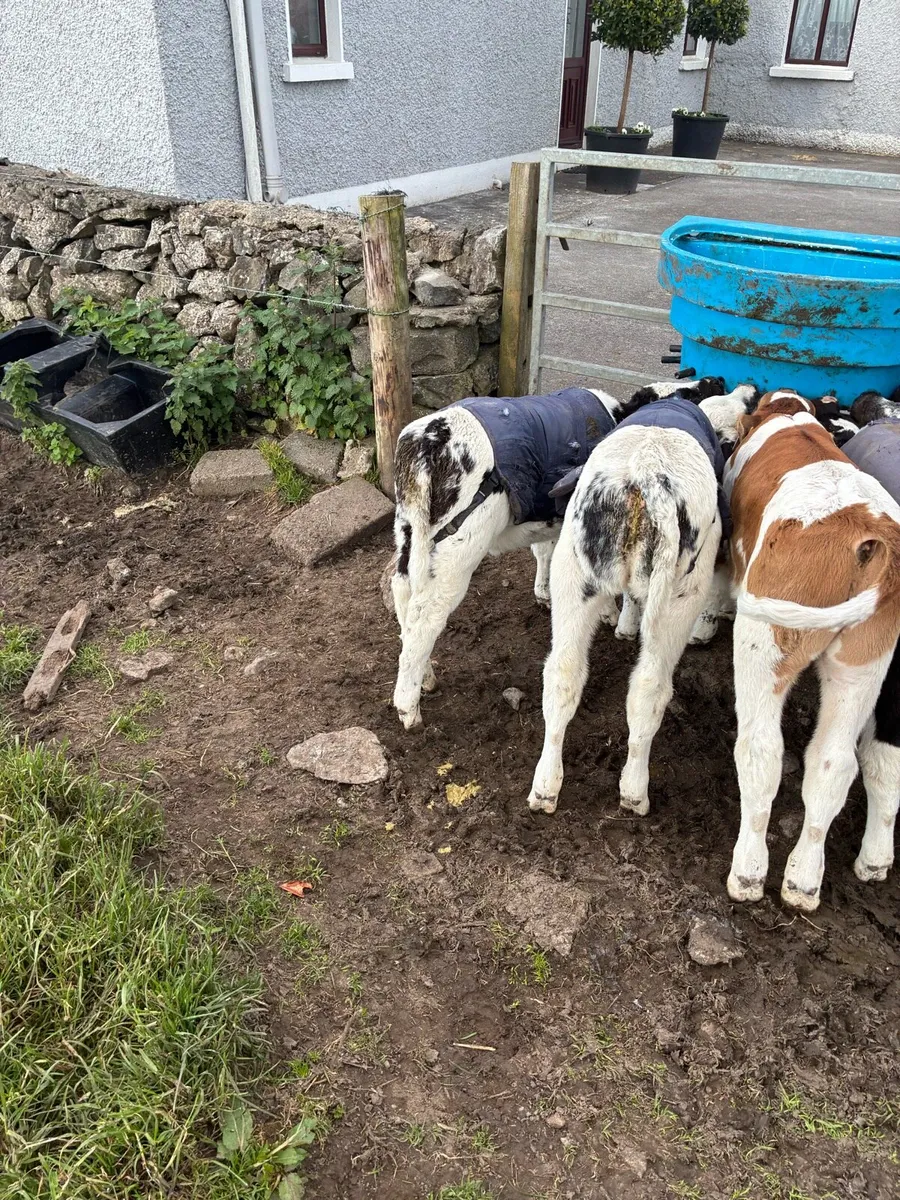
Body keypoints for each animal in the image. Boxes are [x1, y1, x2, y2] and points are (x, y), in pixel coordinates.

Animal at [388, 377, 727, 730]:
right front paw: (608, 612)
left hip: (409, 529)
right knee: (425, 614)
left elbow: (543, 550)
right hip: (460, 544)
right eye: (692, 393)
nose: (717, 380)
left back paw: (425, 677)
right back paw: (408, 706)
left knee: (403, 594)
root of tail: (425, 440)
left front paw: (543, 592)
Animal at [526, 384, 757, 819]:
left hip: (572, 577)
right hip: (679, 597)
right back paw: (634, 790)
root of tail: (643, 478)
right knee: (649, 689)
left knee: (562, 674)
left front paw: (624, 625)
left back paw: (546, 786)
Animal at [724, 388, 900, 912]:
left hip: (765, 641)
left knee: (762, 750)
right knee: (834, 762)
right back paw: (805, 880)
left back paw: (748, 873)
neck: (790, 417)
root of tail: (869, 539)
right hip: (864, 663)